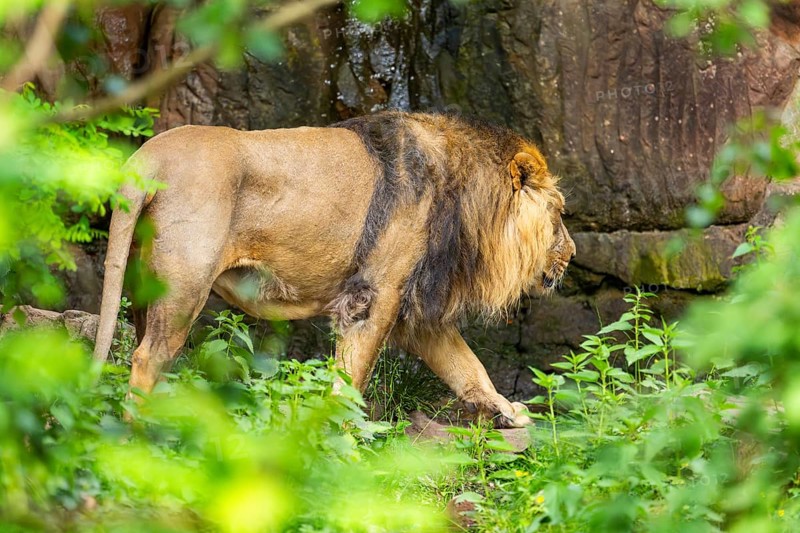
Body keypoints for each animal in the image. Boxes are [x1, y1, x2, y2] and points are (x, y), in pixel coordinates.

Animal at [93, 111, 576, 427]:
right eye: (560, 213)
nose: (570, 254)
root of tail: (148, 156)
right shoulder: (376, 293)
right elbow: (353, 374)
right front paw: (341, 437)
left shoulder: (416, 310)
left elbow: (467, 366)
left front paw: (507, 410)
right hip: (186, 286)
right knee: (147, 357)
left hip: (145, 284)